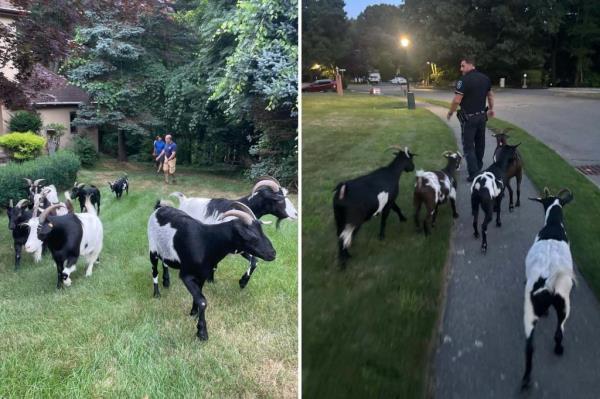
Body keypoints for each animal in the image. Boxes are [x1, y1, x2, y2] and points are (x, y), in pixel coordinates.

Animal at [149, 202, 276, 340]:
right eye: (251, 236)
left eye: (262, 231)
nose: (273, 253)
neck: (206, 242)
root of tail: (159, 208)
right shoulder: (186, 275)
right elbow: (202, 301)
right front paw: (202, 332)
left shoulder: (202, 274)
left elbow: (198, 295)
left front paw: (193, 313)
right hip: (152, 249)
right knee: (154, 271)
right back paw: (156, 294)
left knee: (165, 262)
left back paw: (166, 282)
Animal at [520, 188, 576, 390]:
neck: (553, 225)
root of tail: (548, 281)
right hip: (564, 306)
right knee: (559, 332)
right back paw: (558, 349)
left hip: (530, 311)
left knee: (530, 346)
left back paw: (526, 380)